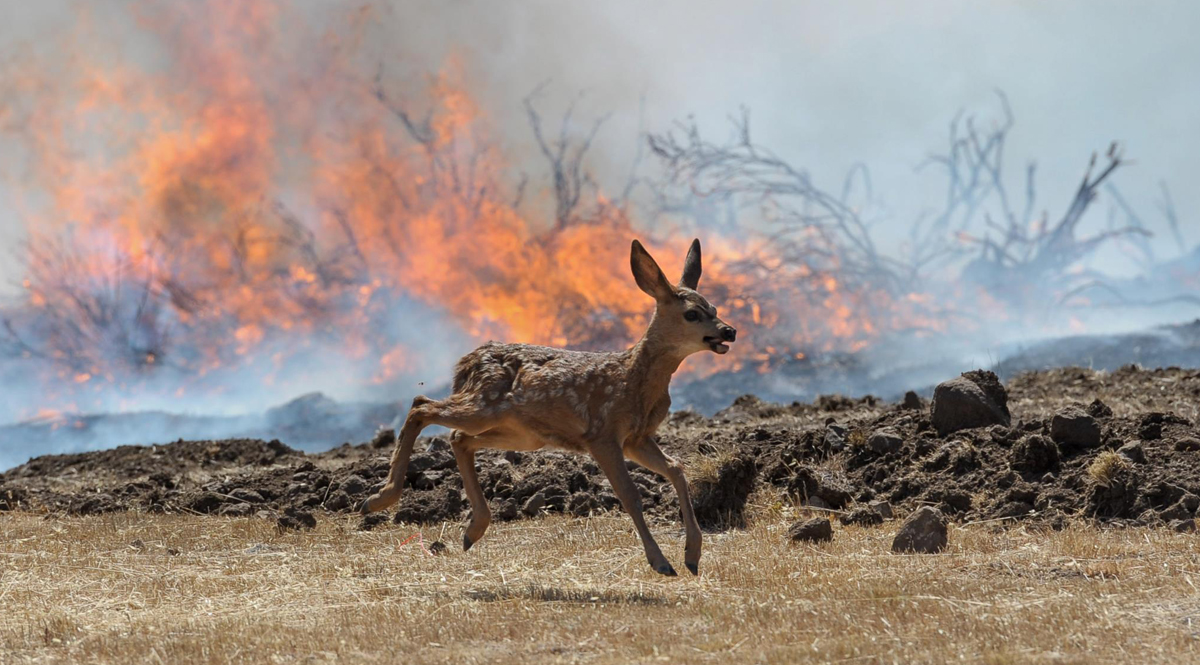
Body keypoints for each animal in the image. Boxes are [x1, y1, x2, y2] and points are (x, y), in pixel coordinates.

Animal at [355, 238, 734, 573]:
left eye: (714, 309)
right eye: (692, 314)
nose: (729, 330)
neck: (634, 380)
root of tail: (465, 363)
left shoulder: (636, 438)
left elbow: (676, 468)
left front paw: (692, 557)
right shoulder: (603, 433)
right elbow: (630, 495)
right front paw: (661, 563)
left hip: (522, 433)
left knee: (458, 437)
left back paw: (472, 530)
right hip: (484, 406)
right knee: (422, 406)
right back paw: (378, 499)